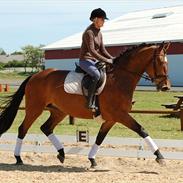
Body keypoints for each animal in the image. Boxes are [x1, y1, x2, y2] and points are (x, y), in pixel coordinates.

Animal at [0, 42, 170, 167]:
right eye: (160, 62)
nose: (166, 87)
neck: (120, 79)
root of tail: (35, 75)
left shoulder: (111, 118)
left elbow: (100, 138)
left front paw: (92, 160)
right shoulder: (120, 115)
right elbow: (141, 130)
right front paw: (160, 156)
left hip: (59, 111)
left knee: (46, 128)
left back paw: (61, 153)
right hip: (34, 109)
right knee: (23, 129)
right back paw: (18, 158)